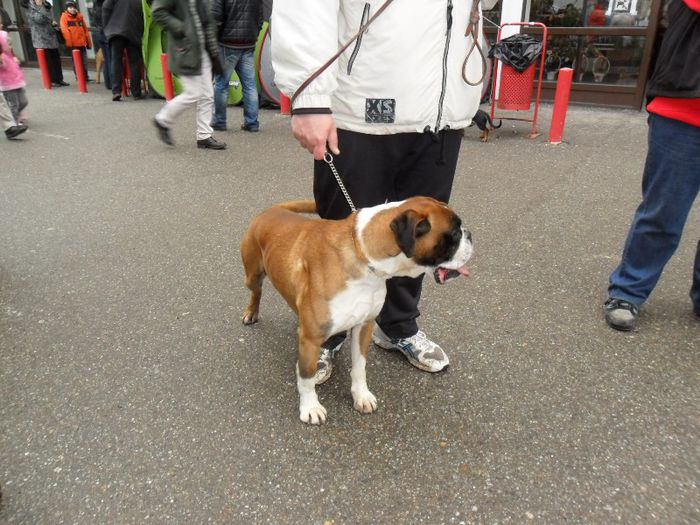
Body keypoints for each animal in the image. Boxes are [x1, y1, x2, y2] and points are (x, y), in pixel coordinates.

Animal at [238, 196, 474, 422]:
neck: (363, 257)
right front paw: (310, 407)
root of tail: (273, 209)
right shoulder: (310, 339)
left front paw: (361, 396)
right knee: (256, 292)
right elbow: (307, 376)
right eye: (454, 233)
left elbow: (360, 367)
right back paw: (251, 312)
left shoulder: (364, 326)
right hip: (252, 276)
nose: (470, 234)